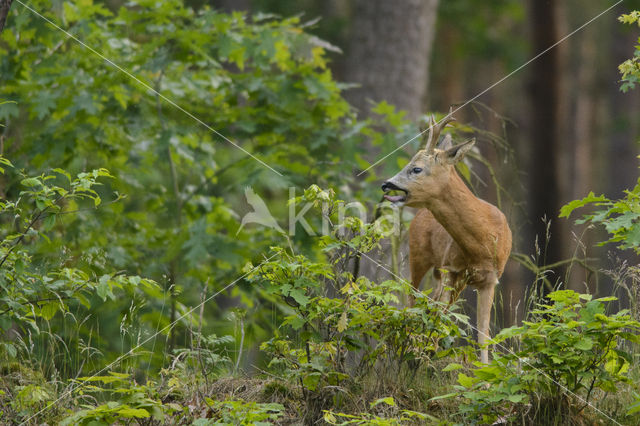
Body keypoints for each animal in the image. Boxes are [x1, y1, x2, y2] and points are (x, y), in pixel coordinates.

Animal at [382, 114, 512, 362]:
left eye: (417, 169)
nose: (387, 184)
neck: (482, 243)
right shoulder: (451, 269)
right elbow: (438, 317)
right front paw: (424, 354)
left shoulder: (490, 279)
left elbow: (483, 334)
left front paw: (485, 371)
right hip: (419, 256)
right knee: (413, 298)